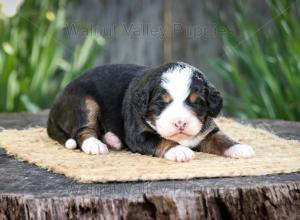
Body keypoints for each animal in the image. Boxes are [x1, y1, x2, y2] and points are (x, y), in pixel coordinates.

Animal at [48, 62, 254, 162]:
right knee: (83, 130)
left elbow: (221, 138)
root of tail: (55, 104)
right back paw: (95, 145)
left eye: (197, 103)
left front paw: (239, 147)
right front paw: (179, 150)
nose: (180, 123)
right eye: (161, 103)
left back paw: (112, 139)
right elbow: (162, 140)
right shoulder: (139, 135)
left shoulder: (207, 132)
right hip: (85, 101)